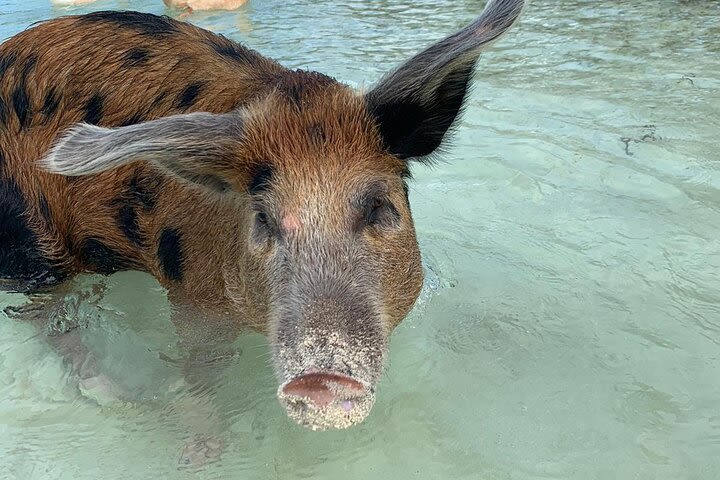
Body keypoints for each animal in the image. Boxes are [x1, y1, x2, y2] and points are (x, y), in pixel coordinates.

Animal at [0, 0, 524, 430]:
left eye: (379, 207)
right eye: (263, 220)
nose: (320, 378)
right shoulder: (193, 299)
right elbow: (205, 368)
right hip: (28, 242)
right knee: (41, 310)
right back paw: (109, 392)